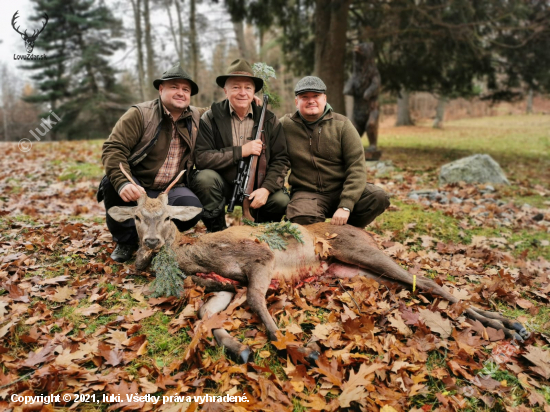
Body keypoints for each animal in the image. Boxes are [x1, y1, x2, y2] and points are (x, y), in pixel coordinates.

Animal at [106, 164, 532, 364]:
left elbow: (257, 303)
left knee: (427, 281)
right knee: (416, 286)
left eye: (166, 217)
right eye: (138, 217)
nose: (151, 243)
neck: (193, 257)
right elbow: (203, 318)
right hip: (357, 271)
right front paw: (239, 348)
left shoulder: (258, 259)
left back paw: (512, 326)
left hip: (362, 252)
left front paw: (294, 347)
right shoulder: (224, 287)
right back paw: (509, 326)